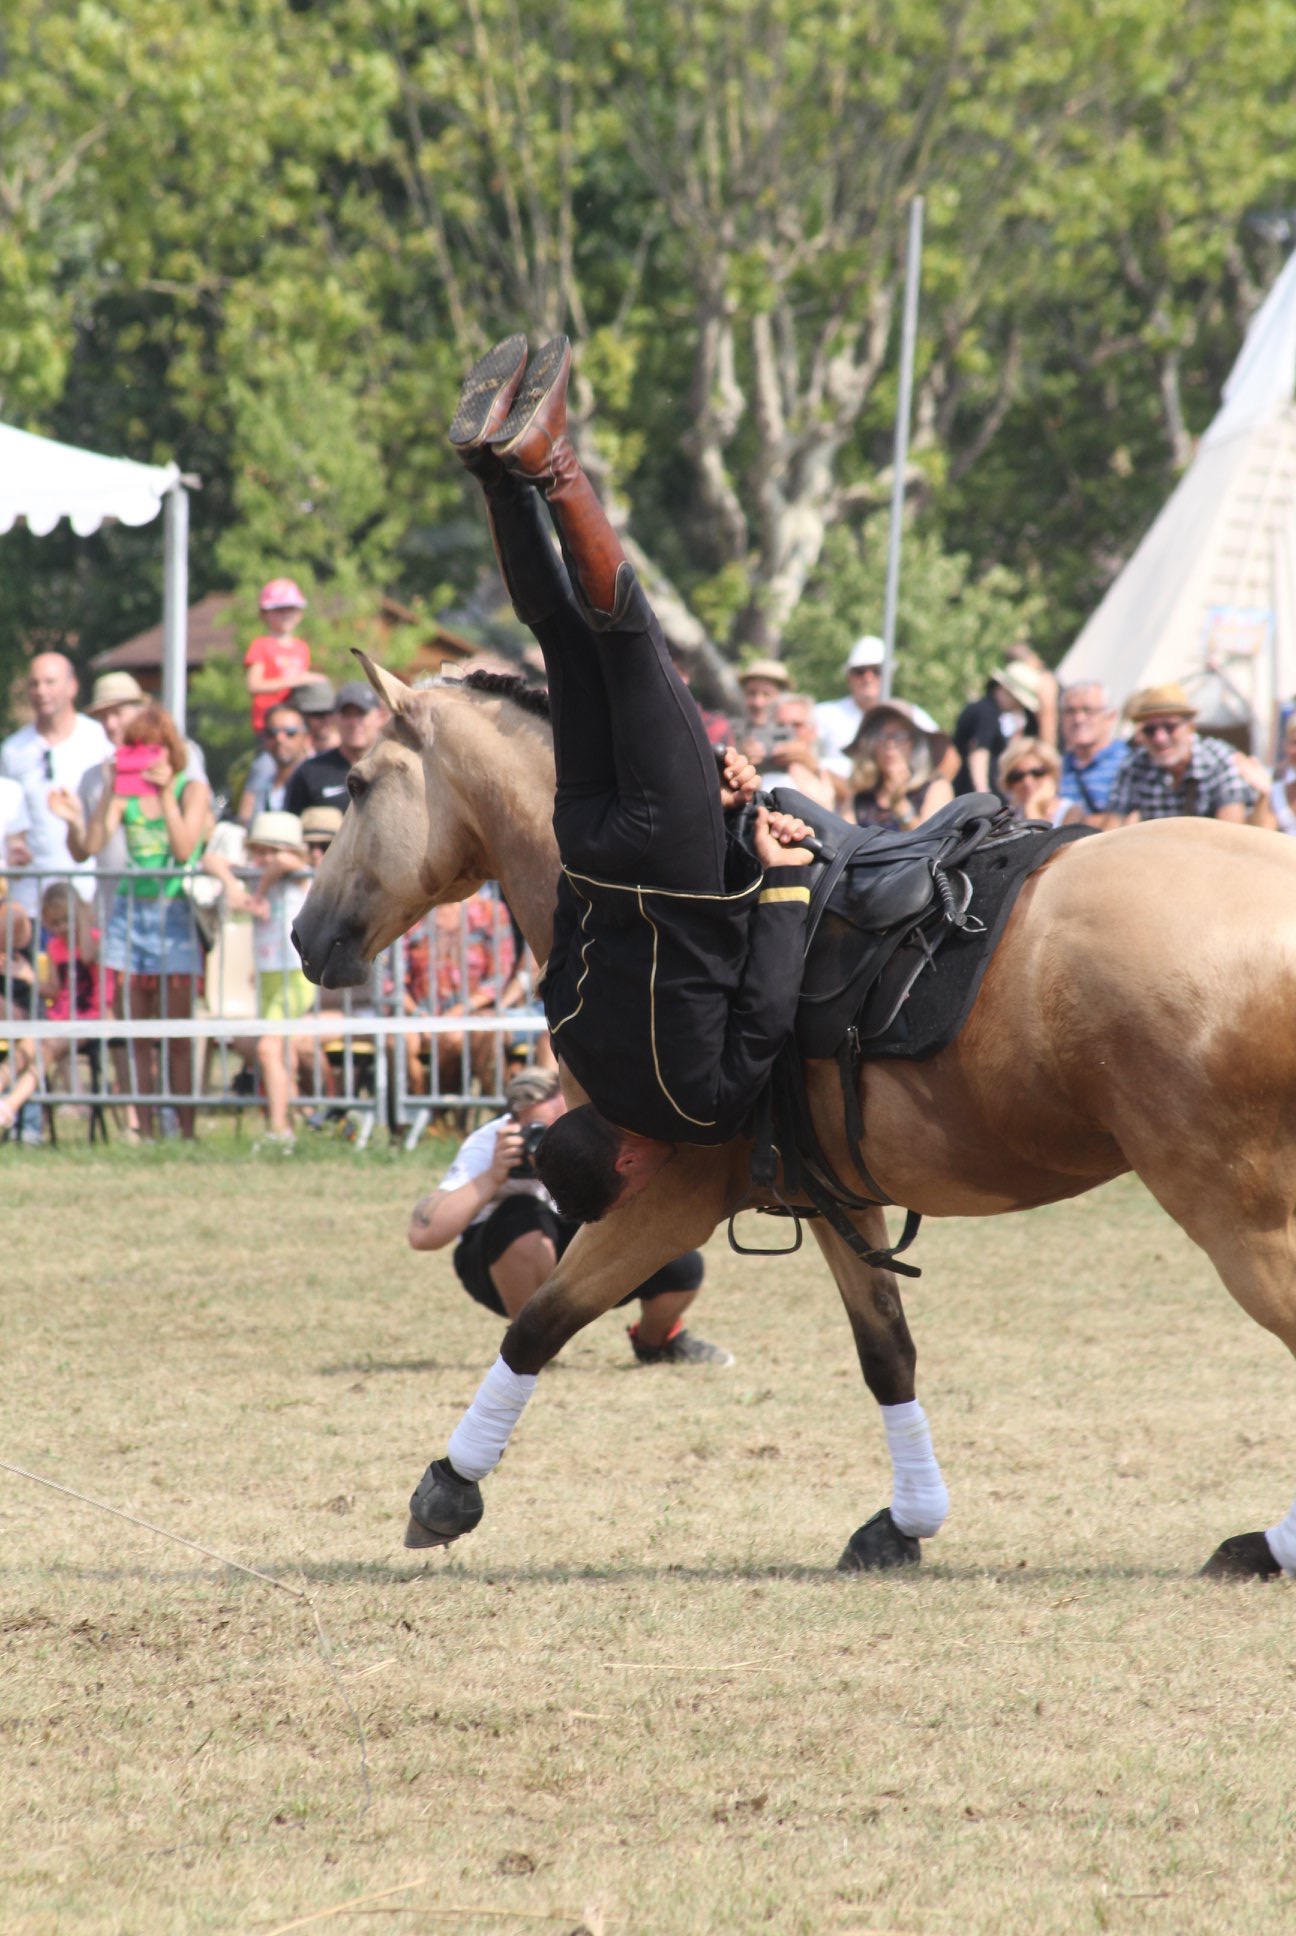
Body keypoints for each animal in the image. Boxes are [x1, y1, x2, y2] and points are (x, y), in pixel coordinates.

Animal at [292, 657, 1296, 1580]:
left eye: (356, 783)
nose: (304, 935)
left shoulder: (673, 1195)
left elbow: (539, 1321)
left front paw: (450, 1486)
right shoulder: (836, 1198)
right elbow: (887, 1352)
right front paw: (905, 1523)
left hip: (1233, 1210)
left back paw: (1268, 1546)